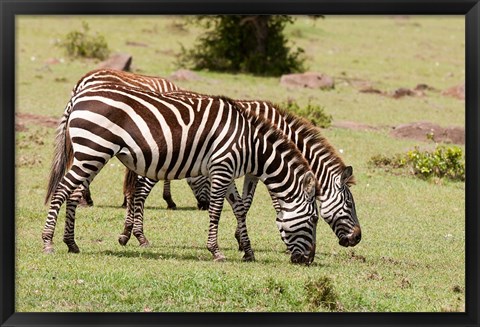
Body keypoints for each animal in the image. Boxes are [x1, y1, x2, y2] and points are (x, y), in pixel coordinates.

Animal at [43, 83, 320, 266]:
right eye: (314, 219)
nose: (308, 261)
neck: (250, 144)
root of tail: (79, 97)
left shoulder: (228, 172)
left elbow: (240, 209)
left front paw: (248, 251)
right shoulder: (222, 167)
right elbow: (217, 211)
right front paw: (216, 251)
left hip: (91, 154)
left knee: (73, 193)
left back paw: (71, 243)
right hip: (93, 150)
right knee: (61, 190)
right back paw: (48, 242)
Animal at [120, 93, 360, 252]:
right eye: (349, 204)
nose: (357, 238)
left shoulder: (255, 169)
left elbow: (244, 203)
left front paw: (241, 239)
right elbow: (268, 202)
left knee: (134, 190)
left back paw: (126, 233)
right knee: (140, 192)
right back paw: (139, 236)